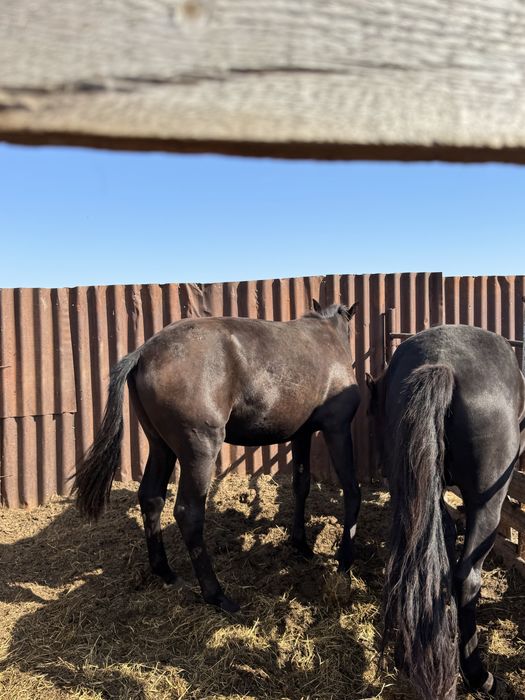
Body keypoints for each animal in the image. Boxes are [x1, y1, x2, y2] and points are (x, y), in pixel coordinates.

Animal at [74, 301, 361, 612]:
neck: (326, 336)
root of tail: (144, 353)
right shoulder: (337, 428)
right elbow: (351, 490)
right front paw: (345, 561)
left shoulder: (301, 435)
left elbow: (301, 485)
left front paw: (301, 545)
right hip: (200, 451)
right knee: (188, 513)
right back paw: (217, 594)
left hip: (160, 446)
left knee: (151, 498)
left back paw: (166, 572)